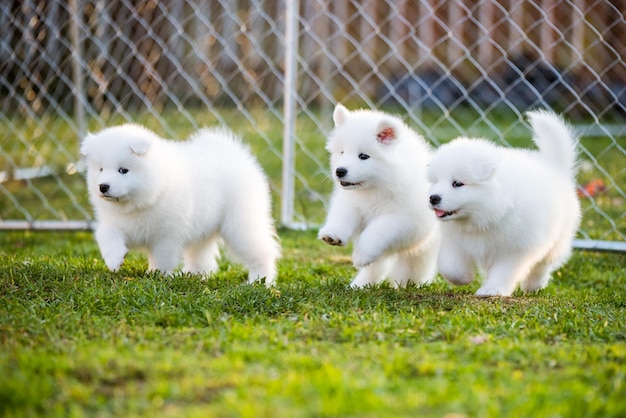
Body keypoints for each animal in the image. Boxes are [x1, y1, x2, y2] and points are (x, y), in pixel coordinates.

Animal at [80, 124, 278, 286]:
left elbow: (162, 258)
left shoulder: (166, 235)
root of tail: (238, 155)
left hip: (240, 225)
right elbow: (106, 234)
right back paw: (194, 276)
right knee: (201, 257)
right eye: (100, 169)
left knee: (263, 252)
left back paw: (259, 282)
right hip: (203, 228)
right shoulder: (115, 221)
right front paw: (115, 259)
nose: (103, 186)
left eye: (123, 170)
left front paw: (156, 275)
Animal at [316, 103, 438, 290]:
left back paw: (404, 285)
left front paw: (360, 255)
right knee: (376, 266)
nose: (340, 171)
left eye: (363, 156)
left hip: (422, 249)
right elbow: (342, 216)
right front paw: (333, 235)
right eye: (342, 152)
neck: (376, 188)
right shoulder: (351, 202)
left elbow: (377, 229)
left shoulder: (404, 218)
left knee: (411, 268)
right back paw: (360, 285)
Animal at [424, 109, 580, 296]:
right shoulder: (455, 241)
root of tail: (555, 167)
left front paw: (492, 290)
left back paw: (533, 285)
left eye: (457, 183)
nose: (433, 198)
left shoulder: (515, 250)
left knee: (543, 264)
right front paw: (464, 278)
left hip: (557, 239)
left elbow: (504, 271)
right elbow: (451, 266)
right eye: (435, 181)